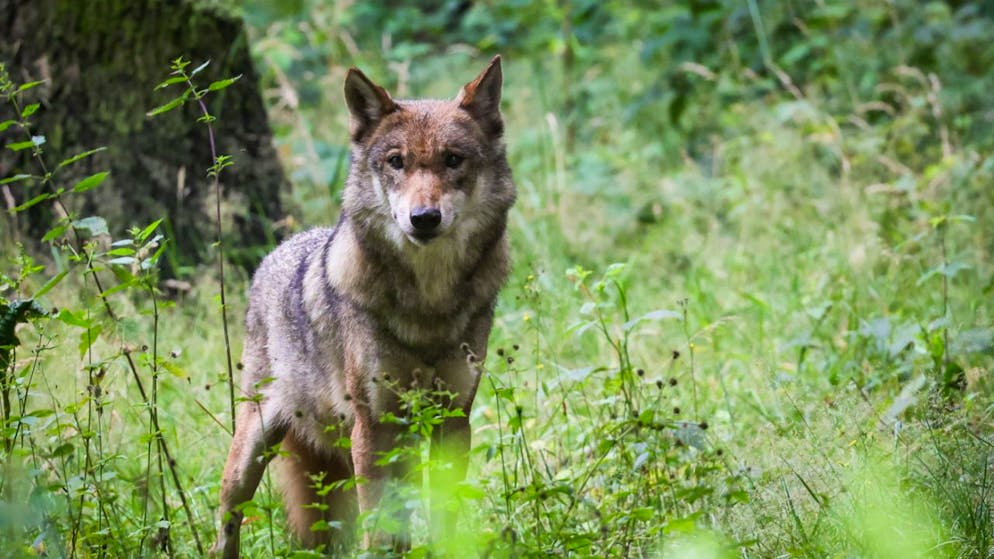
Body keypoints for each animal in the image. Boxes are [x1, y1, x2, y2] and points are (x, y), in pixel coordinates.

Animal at [210, 56, 515, 557]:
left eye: (453, 159)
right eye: (396, 162)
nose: (423, 218)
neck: (428, 305)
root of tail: (277, 251)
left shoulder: (453, 420)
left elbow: (444, 517)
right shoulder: (373, 427)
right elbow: (379, 526)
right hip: (252, 450)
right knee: (227, 517)